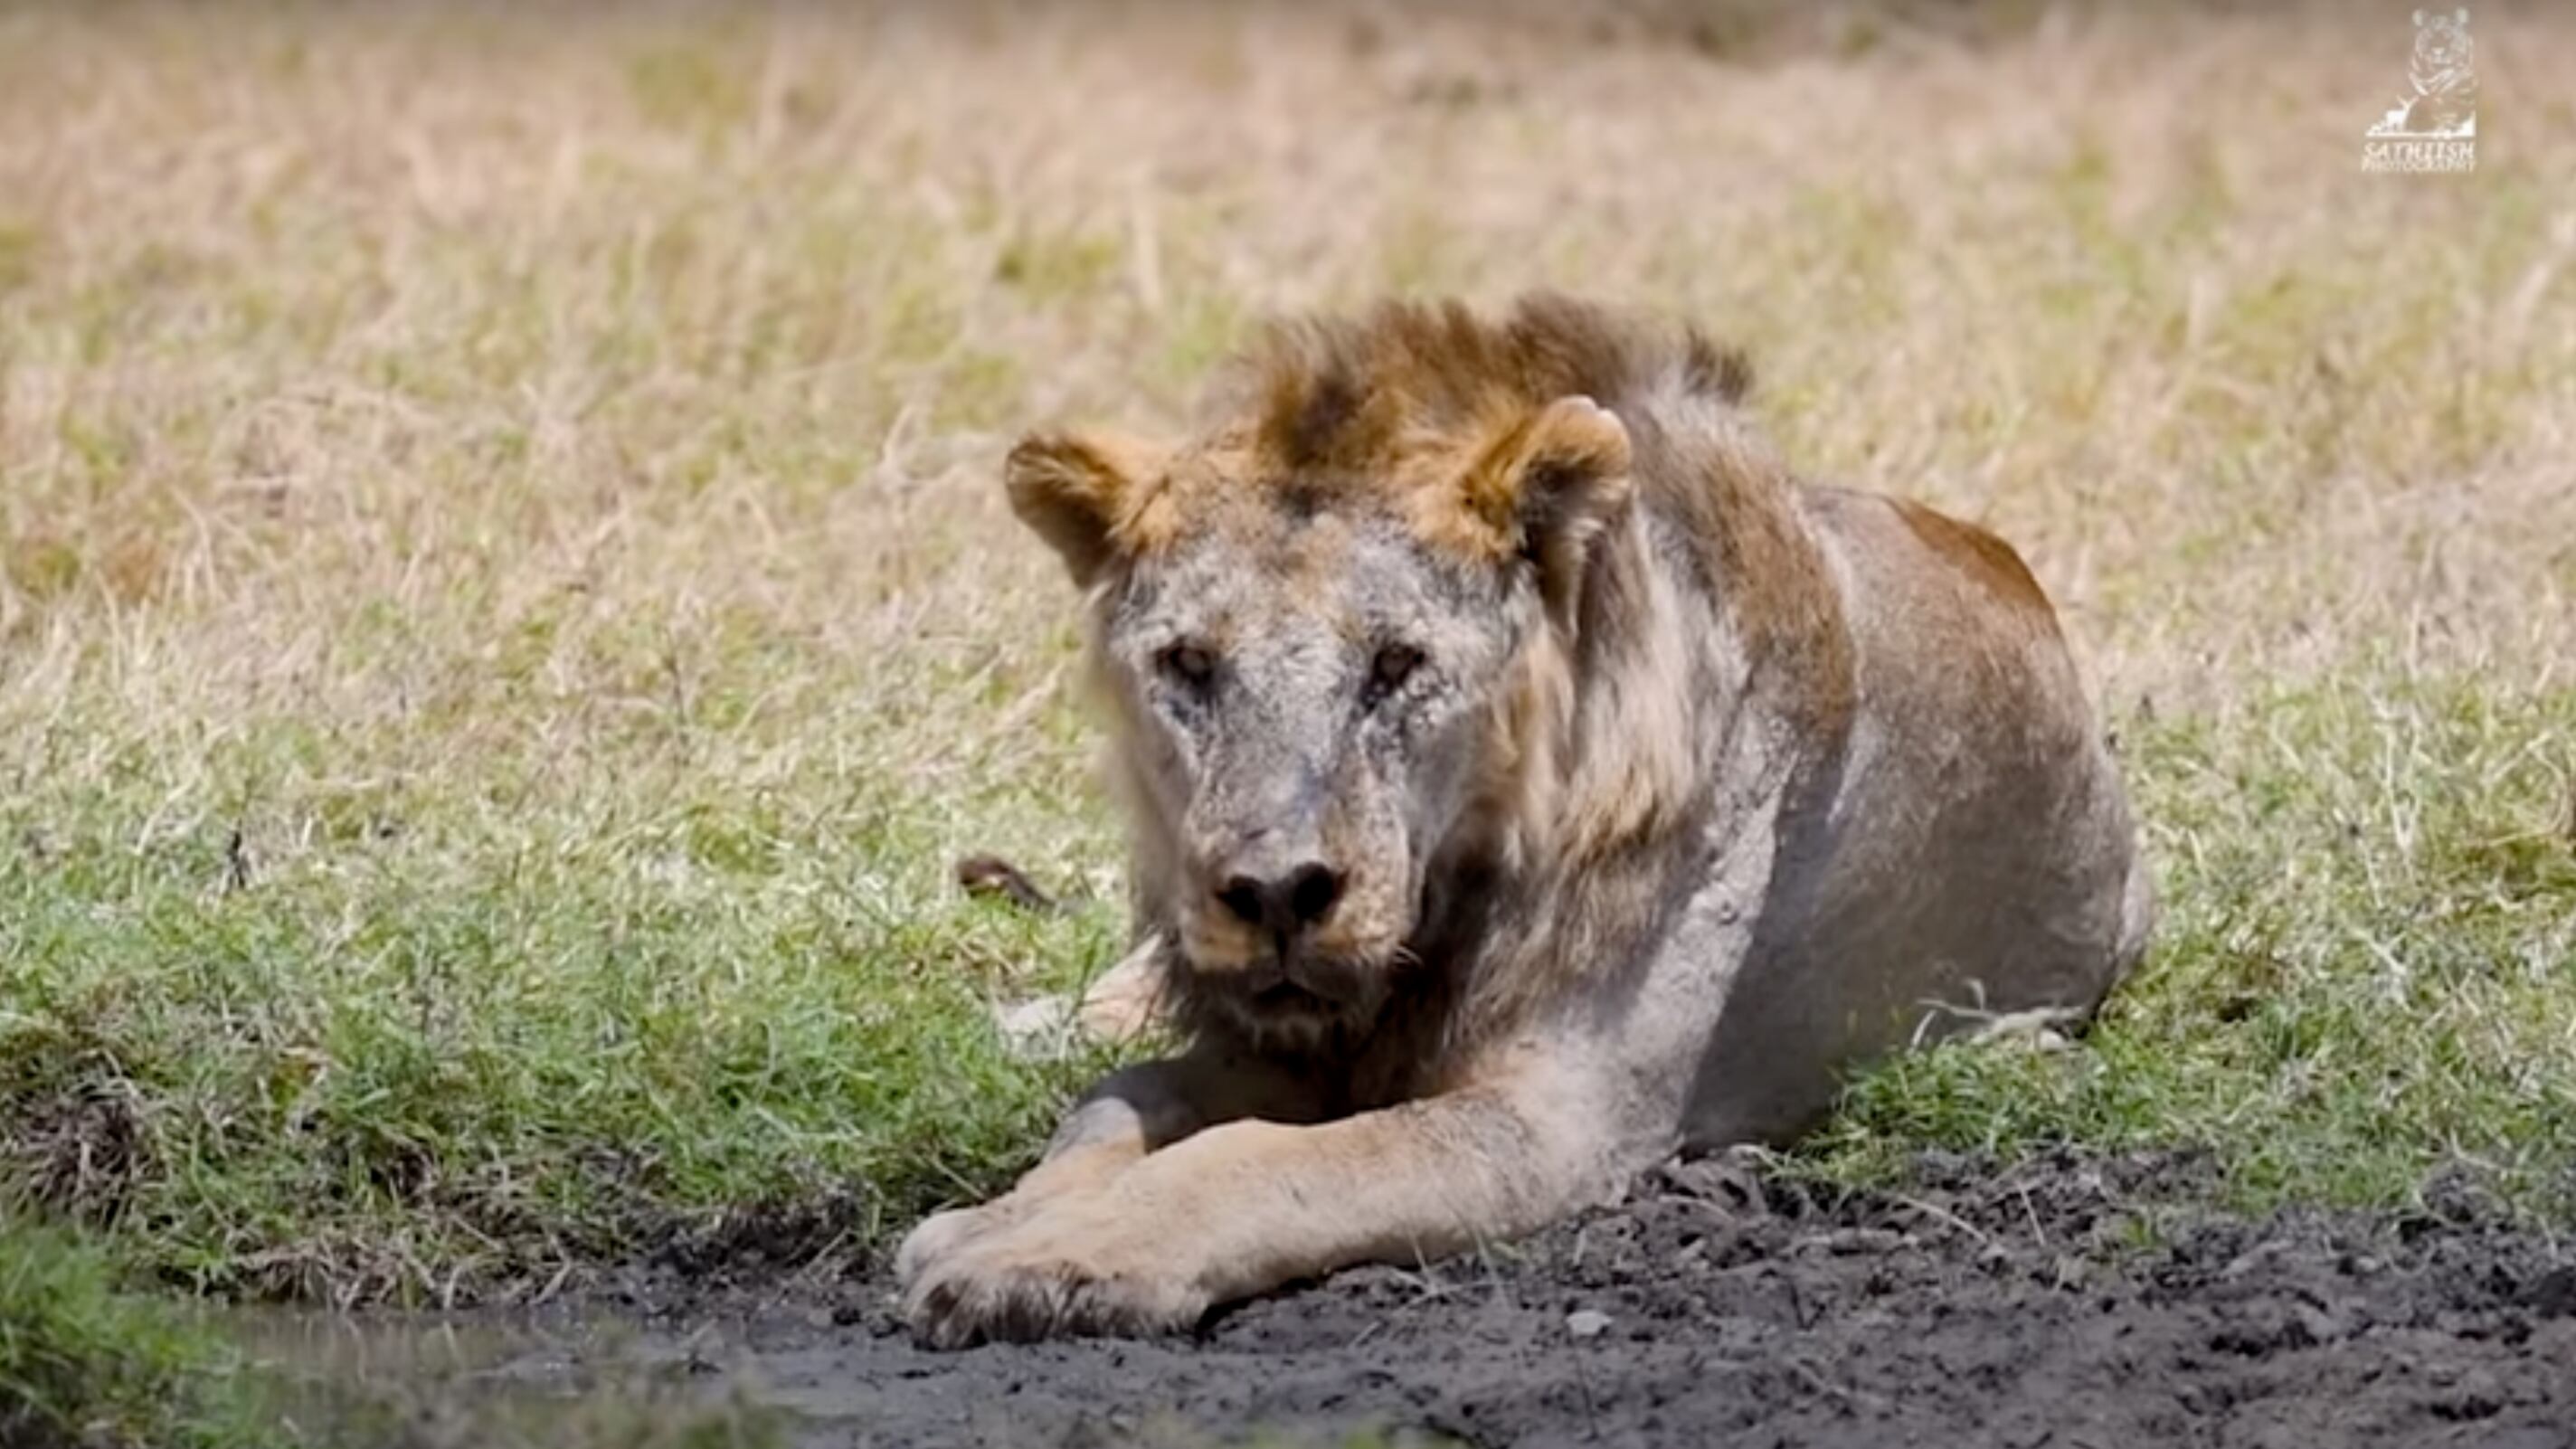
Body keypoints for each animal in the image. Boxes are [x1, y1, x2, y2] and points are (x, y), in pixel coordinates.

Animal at [897, 295, 2151, 1347]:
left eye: (1396, 663)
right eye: (1188, 665)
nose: (1275, 895)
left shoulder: (1559, 1121)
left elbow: (1258, 1161)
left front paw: (1054, 1259)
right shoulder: (1275, 1038)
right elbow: (1115, 1099)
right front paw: (990, 1220)